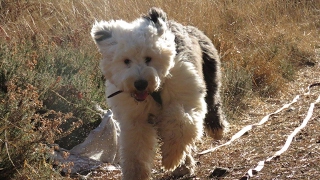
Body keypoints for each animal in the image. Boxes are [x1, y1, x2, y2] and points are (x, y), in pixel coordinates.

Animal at [89, 7, 228, 180]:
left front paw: (170, 158)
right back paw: (184, 167)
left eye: (148, 58)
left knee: (213, 103)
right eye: (126, 61)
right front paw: (136, 174)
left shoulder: (185, 95)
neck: (154, 92)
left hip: (211, 75)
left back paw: (217, 130)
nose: (140, 84)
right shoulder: (135, 118)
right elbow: (136, 148)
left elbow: (181, 123)